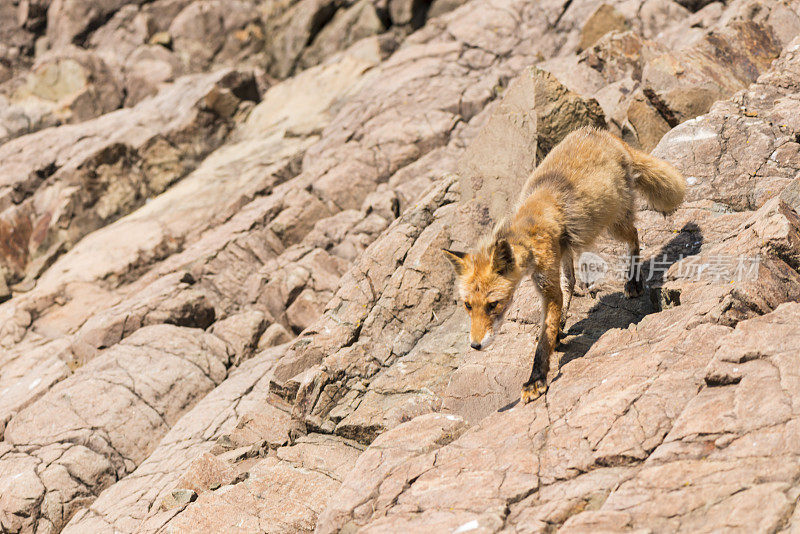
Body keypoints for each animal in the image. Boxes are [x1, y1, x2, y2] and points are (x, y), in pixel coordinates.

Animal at [440, 127, 684, 404]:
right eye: (468, 306)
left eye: (494, 305)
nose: (475, 345)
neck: (529, 227)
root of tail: (603, 133)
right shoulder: (552, 266)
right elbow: (562, 298)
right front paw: (556, 333)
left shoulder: (547, 283)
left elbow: (543, 339)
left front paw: (536, 379)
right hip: (569, 248)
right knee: (571, 281)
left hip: (613, 222)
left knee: (634, 236)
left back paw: (632, 280)